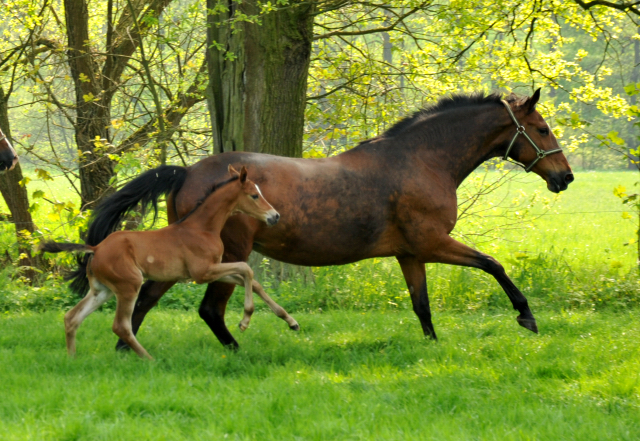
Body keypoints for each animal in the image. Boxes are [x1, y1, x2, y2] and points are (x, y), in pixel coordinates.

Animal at [39, 165, 298, 358]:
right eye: (255, 195)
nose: (274, 216)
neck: (201, 228)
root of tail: (96, 248)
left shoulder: (213, 271)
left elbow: (253, 281)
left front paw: (290, 321)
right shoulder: (203, 273)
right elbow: (246, 270)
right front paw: (245, 321)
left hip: (101, 290)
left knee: (72, 318)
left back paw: (72, 358)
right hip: (128, 286)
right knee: (120, 326)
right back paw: (149, 359)